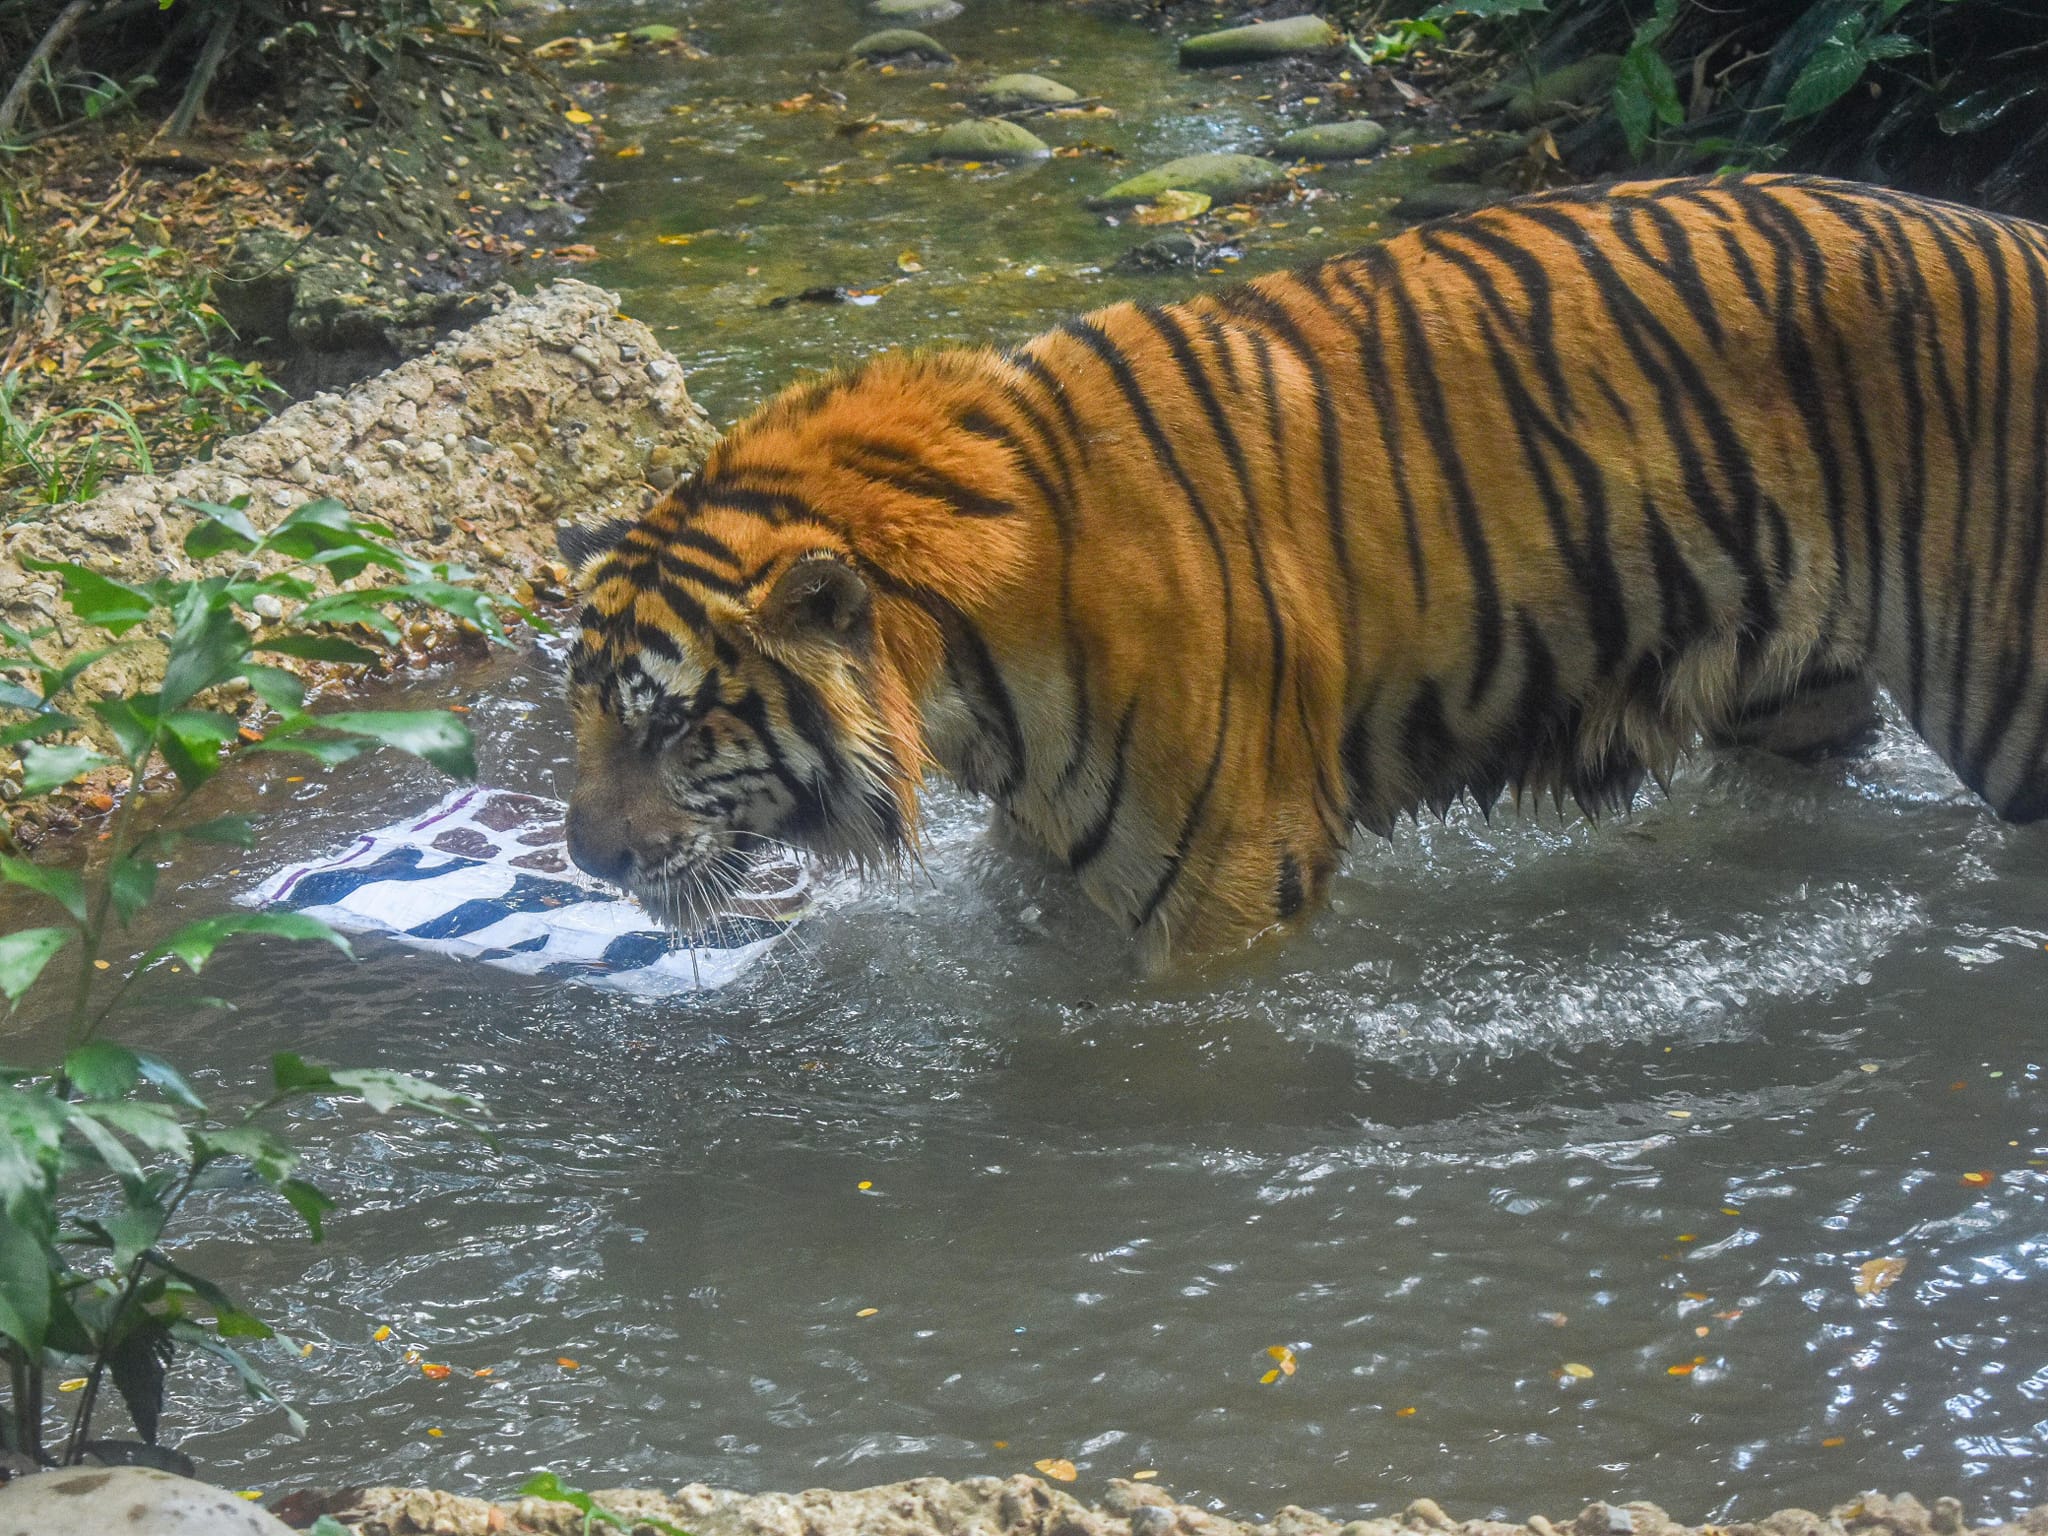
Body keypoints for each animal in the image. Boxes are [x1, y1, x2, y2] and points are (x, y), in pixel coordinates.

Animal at [557, 177, 2048, 974]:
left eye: (674, 725)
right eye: (587, 717)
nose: (582, 855)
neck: (962, 673)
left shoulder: (1224, 876)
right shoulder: (1046, 857)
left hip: (2008, 694)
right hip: (1788, 699)